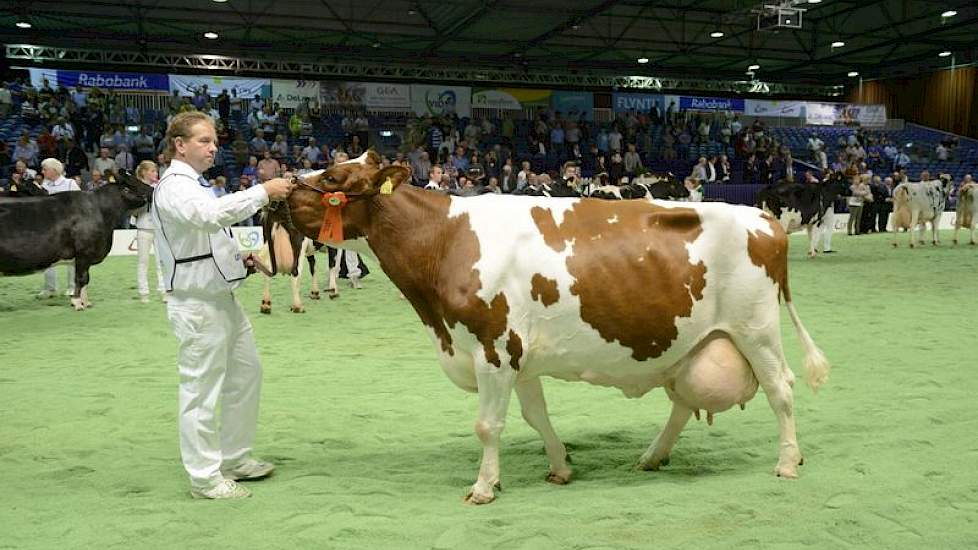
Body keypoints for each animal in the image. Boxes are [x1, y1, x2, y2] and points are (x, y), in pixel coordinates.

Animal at [0, 172, 152, 310]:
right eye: (128, 187)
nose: (151, 189)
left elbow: (86, 279)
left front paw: (86, 302)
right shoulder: (84, 253)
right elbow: (81, 278)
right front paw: (77, 303)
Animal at [278, 151, 828, 504]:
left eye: (334, 178)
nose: (281, 194)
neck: (445, 241)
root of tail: (762, 217)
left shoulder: (493, 348)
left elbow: (488, 425)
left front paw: (483, 487)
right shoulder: (518, 356)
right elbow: (535, 417)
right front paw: (559, 466)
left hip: (755, 329)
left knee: (781, 389)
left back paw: (787, 461)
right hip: (690, 343)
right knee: (681, 402)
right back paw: (652, 456)